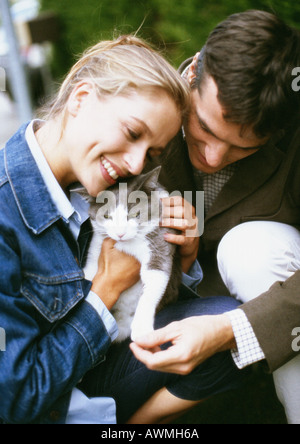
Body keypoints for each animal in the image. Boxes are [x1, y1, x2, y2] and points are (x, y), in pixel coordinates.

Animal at [81, 167, 182, 344]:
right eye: (106, 216)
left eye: (135, 214)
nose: (120, 234)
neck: (127, 244)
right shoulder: (97, 246)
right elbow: (91, 270)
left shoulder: (159, 243)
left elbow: (154, 281)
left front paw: (142, 330)